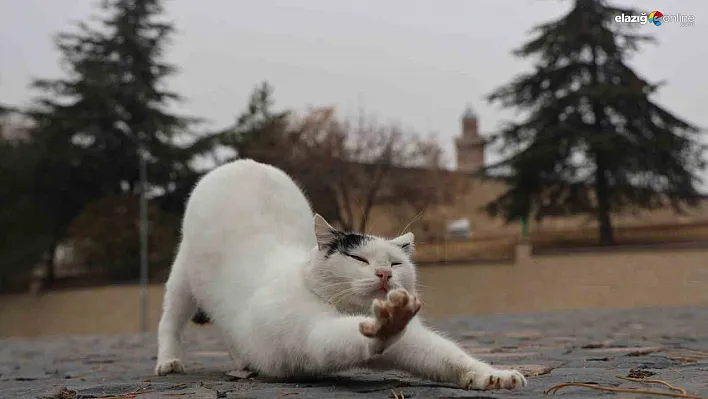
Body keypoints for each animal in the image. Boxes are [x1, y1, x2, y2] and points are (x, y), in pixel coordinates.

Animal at [158, 159, 528, 390]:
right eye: (358, 258)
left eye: (396, 263)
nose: (384, 273)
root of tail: (244, 163)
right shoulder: (312, 333)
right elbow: (342, 337)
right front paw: (389, 322)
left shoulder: (411, 344)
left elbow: (446, 355)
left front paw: (493, 375)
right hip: (182, 278)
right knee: (169, 323)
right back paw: (169, 361)